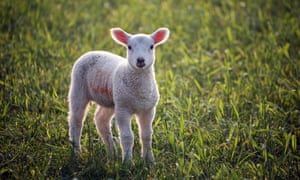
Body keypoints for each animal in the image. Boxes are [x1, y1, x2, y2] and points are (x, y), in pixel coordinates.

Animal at [68, 27, 170, 163]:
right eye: (129, 47)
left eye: (151, 46)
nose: (140, 60)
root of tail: (91, 52)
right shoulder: (123, 109)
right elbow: (127, 137)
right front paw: (127, 162)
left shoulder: (148, 109)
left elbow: (147, 135)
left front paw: (149, 161)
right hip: (78, 87)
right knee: (76, 121)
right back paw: (77, 153)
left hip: (110, 100)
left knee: (101, 120)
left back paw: (112, 154)